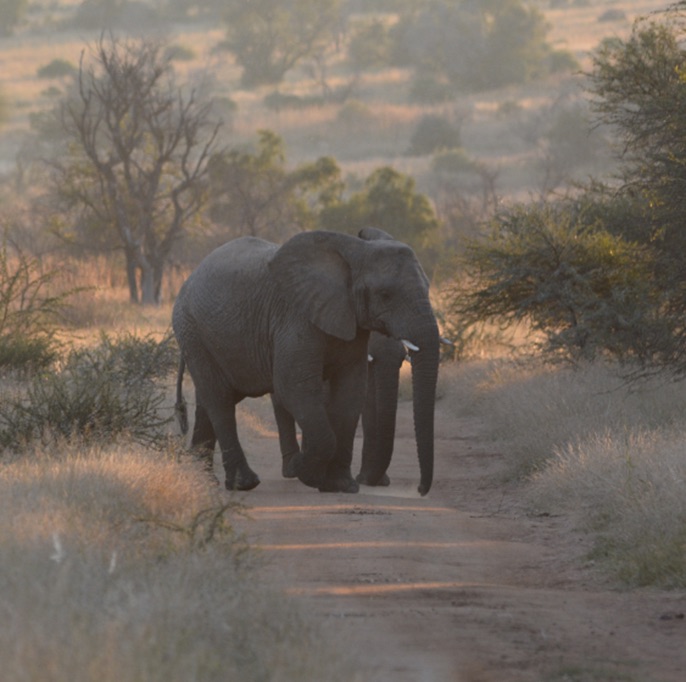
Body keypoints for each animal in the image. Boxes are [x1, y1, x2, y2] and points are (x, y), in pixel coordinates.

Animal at [173, 228, 440, 494]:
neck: (354, 250)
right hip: (192, 331)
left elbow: (351, 392)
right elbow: (294, 386)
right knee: (220, 401)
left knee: (209, 399)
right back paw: (244, 483)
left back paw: (202, 478)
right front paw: (306, 472)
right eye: (385, 295)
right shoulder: (295, 318)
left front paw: (340, 485)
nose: (420, 489)